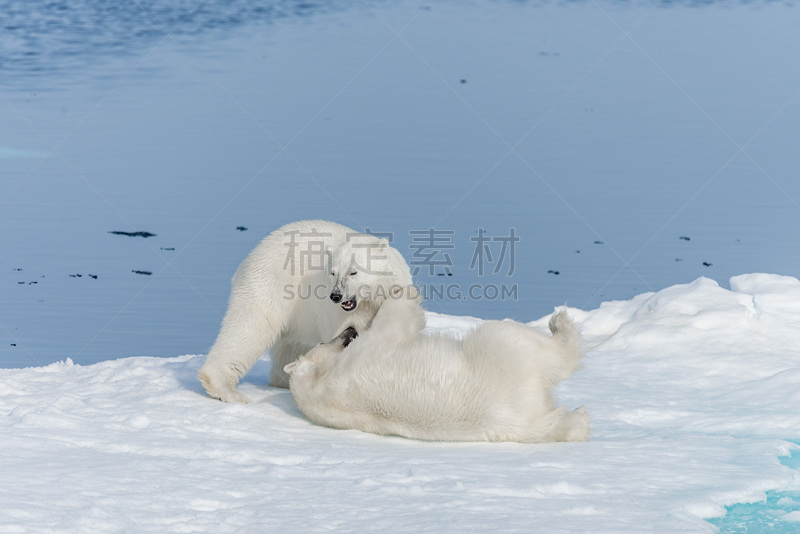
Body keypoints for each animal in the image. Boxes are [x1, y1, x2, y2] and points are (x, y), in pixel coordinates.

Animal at [198, 220, 416, 404]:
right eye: (333, 272)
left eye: (354, 271)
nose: (336, 295)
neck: (368, 301)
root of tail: (250, 257)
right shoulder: (338, 314)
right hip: (269, 286)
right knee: (248, 328)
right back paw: (228, 390)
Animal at [284, 296, 592, 446]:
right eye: (323, 342)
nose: (348, 332)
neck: (318, 390)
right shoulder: (354, 363)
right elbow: (392, 325)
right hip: (502, 352)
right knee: (534, 345)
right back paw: (560, 324)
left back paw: (579, 420)